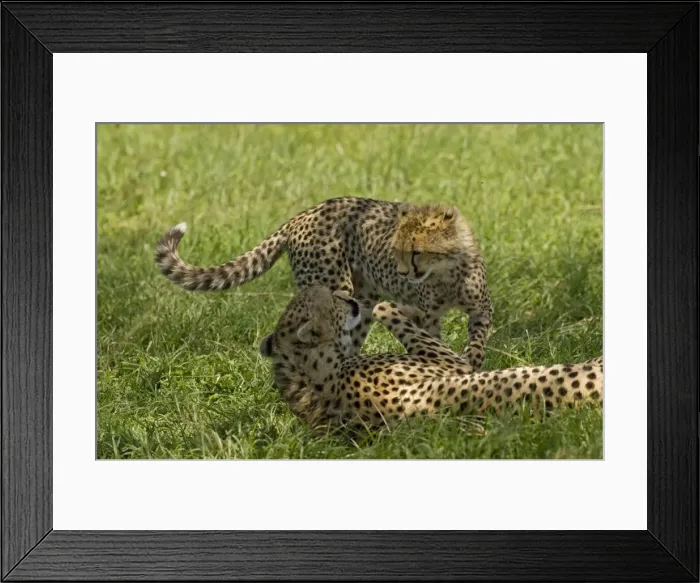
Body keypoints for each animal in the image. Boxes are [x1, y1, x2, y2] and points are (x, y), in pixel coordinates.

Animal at [155, 196, 493, 369]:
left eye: (416, 252)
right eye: (395, 249)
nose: (403, 273)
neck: (447, 271)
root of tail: (301, 216)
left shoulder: (481, 310)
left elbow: (477, 340)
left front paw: (471, 361)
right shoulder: (426, 314)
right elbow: (433, 338)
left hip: (363, 302)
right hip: (335, 289)